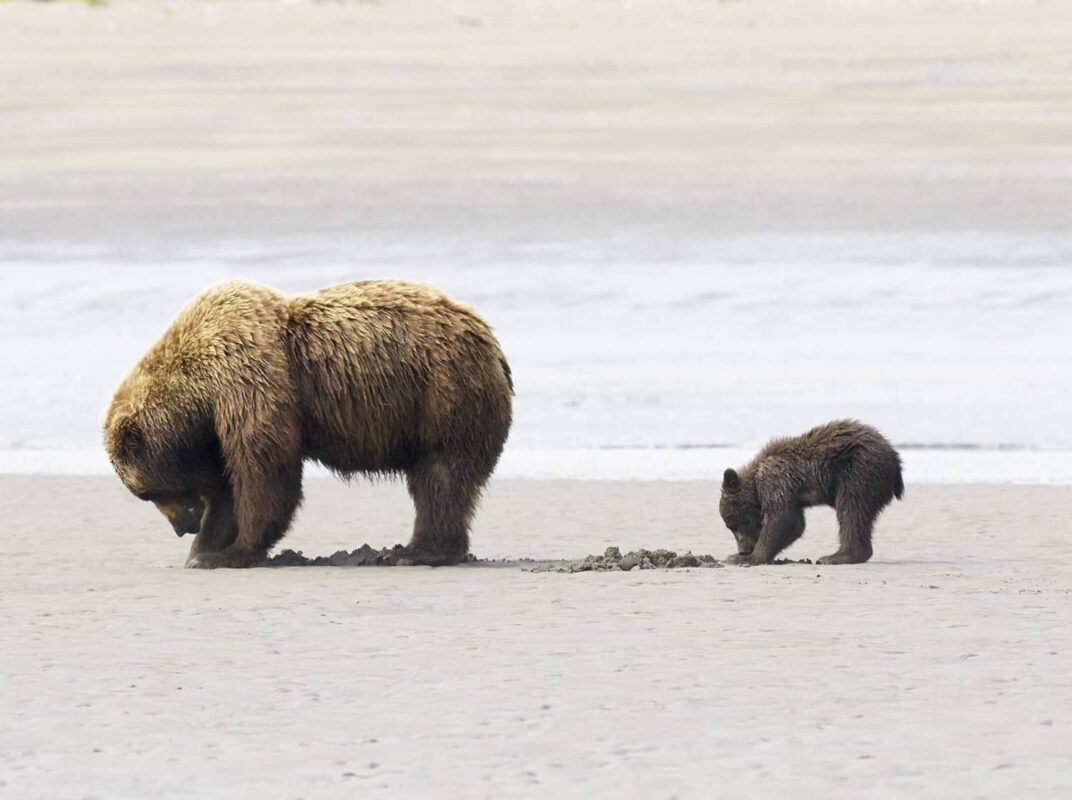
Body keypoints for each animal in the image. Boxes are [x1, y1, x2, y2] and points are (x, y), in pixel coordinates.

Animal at [101, 280, 514, 566]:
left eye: (147, 492)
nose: (180, 527)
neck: (198, 394)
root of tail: (491, 341)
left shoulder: (248, 383)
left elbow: (264, 473)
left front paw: (228, 553)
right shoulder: (216, 429)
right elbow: (226, 489)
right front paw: (203, 549)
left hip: (442, 393)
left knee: (440, 476)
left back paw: (416, 551)